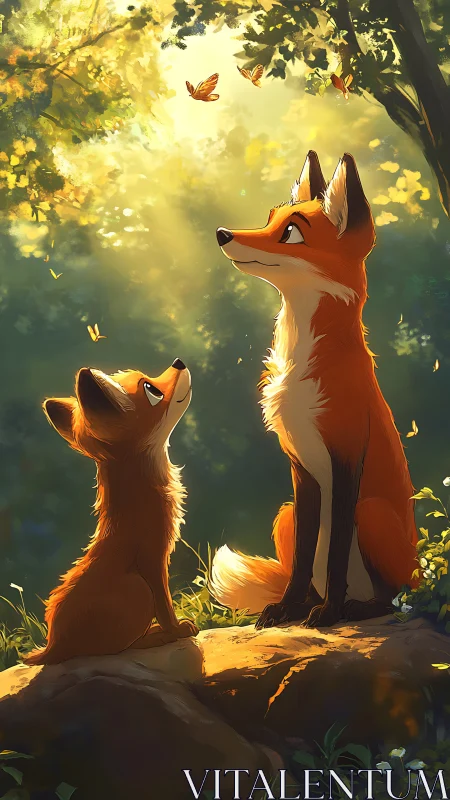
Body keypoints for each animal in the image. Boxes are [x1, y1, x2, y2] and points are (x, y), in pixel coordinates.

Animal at [25, 359, 198, 665]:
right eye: (151, 390)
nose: (179, 362)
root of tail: (52, 645)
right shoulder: (152, 559)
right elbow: (165, 605)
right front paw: (176, 631)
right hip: (138, 591)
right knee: (117, 648)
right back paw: (156, 637)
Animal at [210, 150, 419, 629]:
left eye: (291, 233)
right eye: (269, 218)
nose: (222, 233)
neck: (300, 368)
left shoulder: (345, 454)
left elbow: (337, 547)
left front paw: (329, 614)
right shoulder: (301, 468)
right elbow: (306, 558)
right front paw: (288, 609)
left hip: (372, 513)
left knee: (390, 598)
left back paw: (354, 607)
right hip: (283, 515)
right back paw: (306, 605)